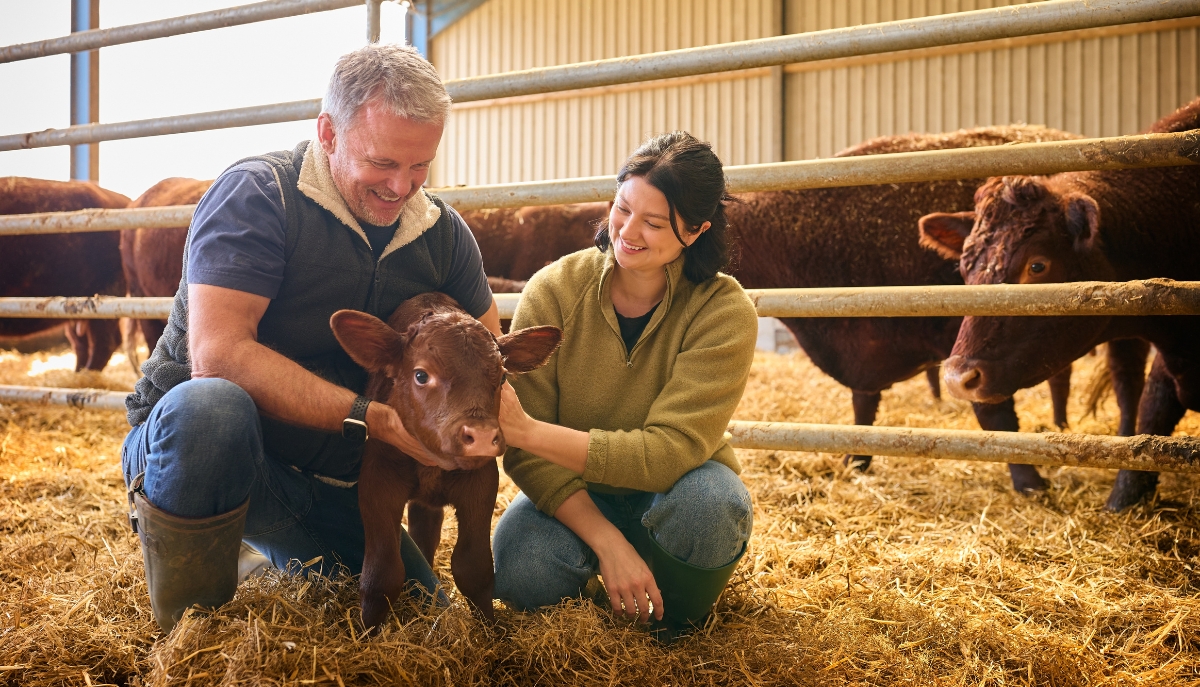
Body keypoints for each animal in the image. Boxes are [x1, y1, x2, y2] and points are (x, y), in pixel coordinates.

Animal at [330, 292, 561, 629]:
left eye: (502, 376)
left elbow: (474, 568)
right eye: (421, 375)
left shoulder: (481, 482)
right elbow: (381, 574)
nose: (481, 436)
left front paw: (491, 632)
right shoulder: (377, 479)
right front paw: (366, 633)